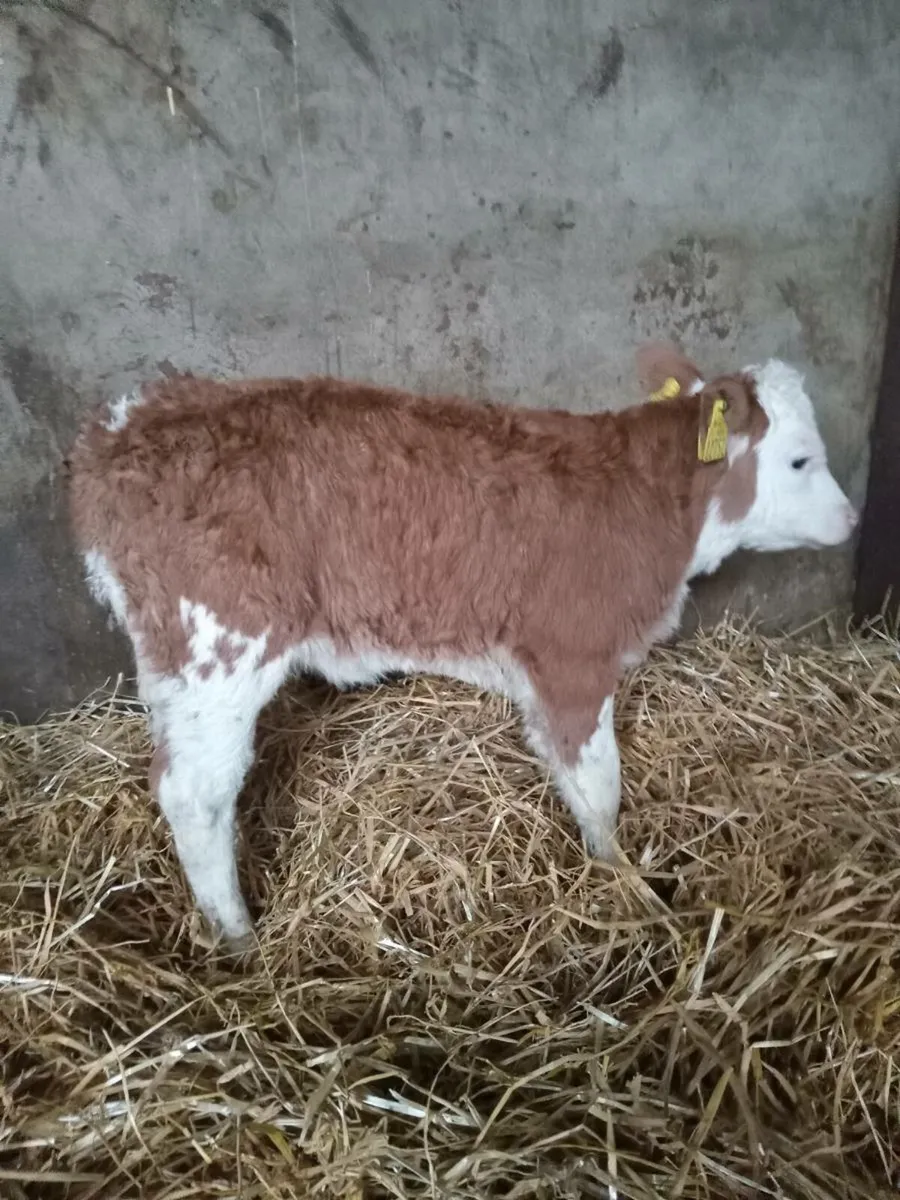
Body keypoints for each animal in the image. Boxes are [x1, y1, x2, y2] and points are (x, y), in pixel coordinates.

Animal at [67, 343, 857, 947]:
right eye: (799, 461)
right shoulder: (575, 655)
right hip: (221, 645)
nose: (852, 519)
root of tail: (126, 427)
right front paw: (629, 888)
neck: (653, 506)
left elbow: (570, 777)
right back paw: (239, 939)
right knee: (196, 794)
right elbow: (601, 788)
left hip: (172, 665)